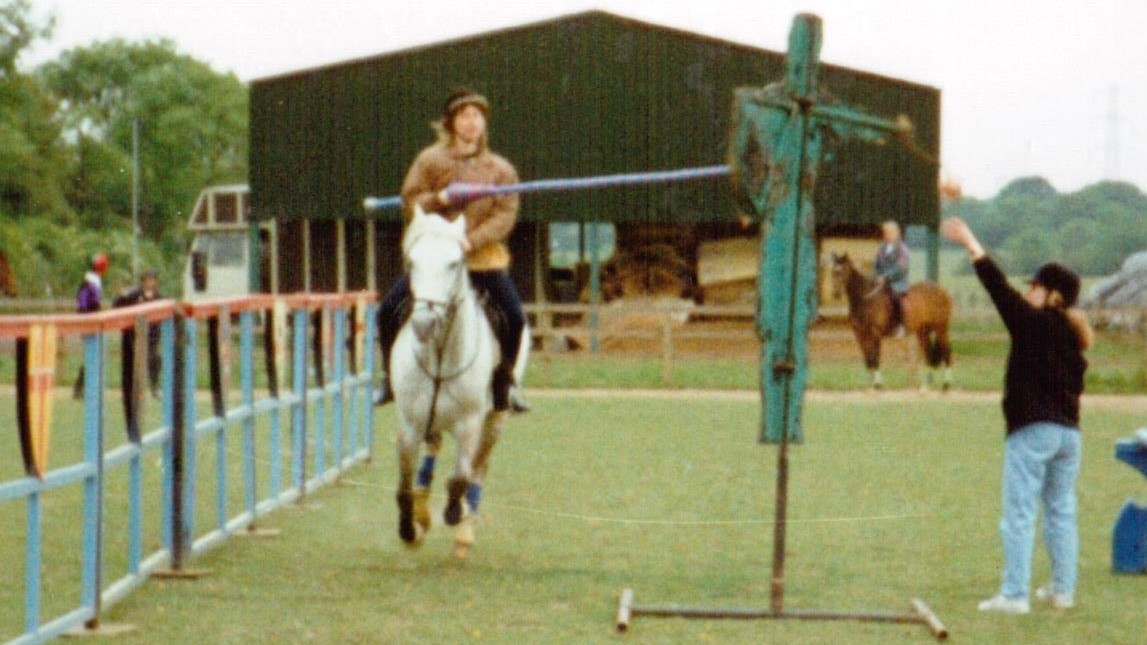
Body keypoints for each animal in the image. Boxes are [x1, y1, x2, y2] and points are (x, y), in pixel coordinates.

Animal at [391, 205, 527, 558]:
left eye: (454, 263)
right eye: (413, 262)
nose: (424, 323)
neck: (440, 356)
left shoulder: (469, 424)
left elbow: (460, 479)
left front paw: (454, 513)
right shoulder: (410, 423)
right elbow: (404, 487)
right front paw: (409, 530)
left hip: (494, 422)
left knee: (478, 469)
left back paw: (464, 530)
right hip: (433, 420)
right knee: (433, 451)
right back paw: (423, 512)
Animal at [828, 252, 953, 390]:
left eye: (843, 270)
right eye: (832, 271)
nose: (836, 294)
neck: (865, 300)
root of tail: (942, 291)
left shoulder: (875, 334)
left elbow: (875, 358)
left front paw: (878, 384)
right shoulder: (860, 335)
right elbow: (868, 360)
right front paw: (872, 385)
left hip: (941, 328)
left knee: (946, 351)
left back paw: (946, 385)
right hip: (923, 331)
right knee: (929, 354)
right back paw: (924, 387)